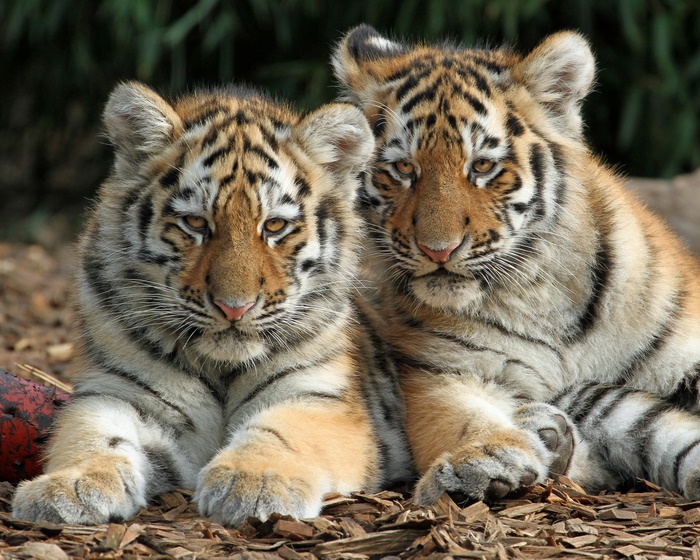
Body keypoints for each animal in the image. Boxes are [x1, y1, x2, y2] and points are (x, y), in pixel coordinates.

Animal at [11, 81, 413, 526]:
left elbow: (282, 431)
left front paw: (254, 481)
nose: (234, 307)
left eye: (274, 226)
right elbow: (91, 434)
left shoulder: (318, 396)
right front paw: (69, 486)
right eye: (195, 223)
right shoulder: (116, 392)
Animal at [333, 25, 700, 504]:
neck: (539, 293)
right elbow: (458, 418)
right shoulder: (438, 374)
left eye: (483, 166)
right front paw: (483, 460)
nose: (438, 250)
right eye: (402, 169)